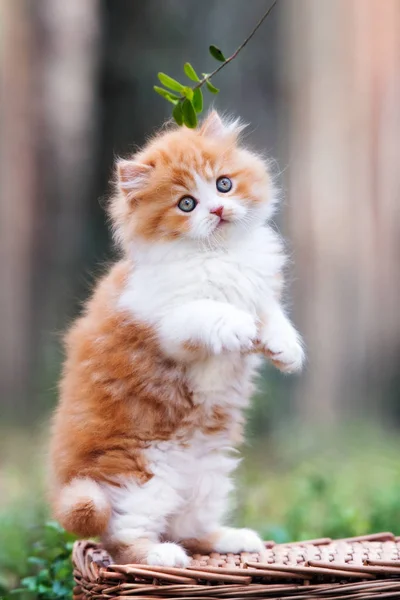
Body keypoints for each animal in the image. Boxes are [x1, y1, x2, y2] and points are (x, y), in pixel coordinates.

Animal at [49, 111, 304, 568]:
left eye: (224, 184)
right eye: (186, 204)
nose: (217, 209)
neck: (218, 255)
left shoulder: (259, 291)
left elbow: (271, 314)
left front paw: (285, 349)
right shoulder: (164, 324)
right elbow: (205, 311)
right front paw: (239, 325)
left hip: (209, 479)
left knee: (190, 530)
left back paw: (233, 539)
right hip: (141, 480)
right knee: (122, 540)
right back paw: (162, 555)